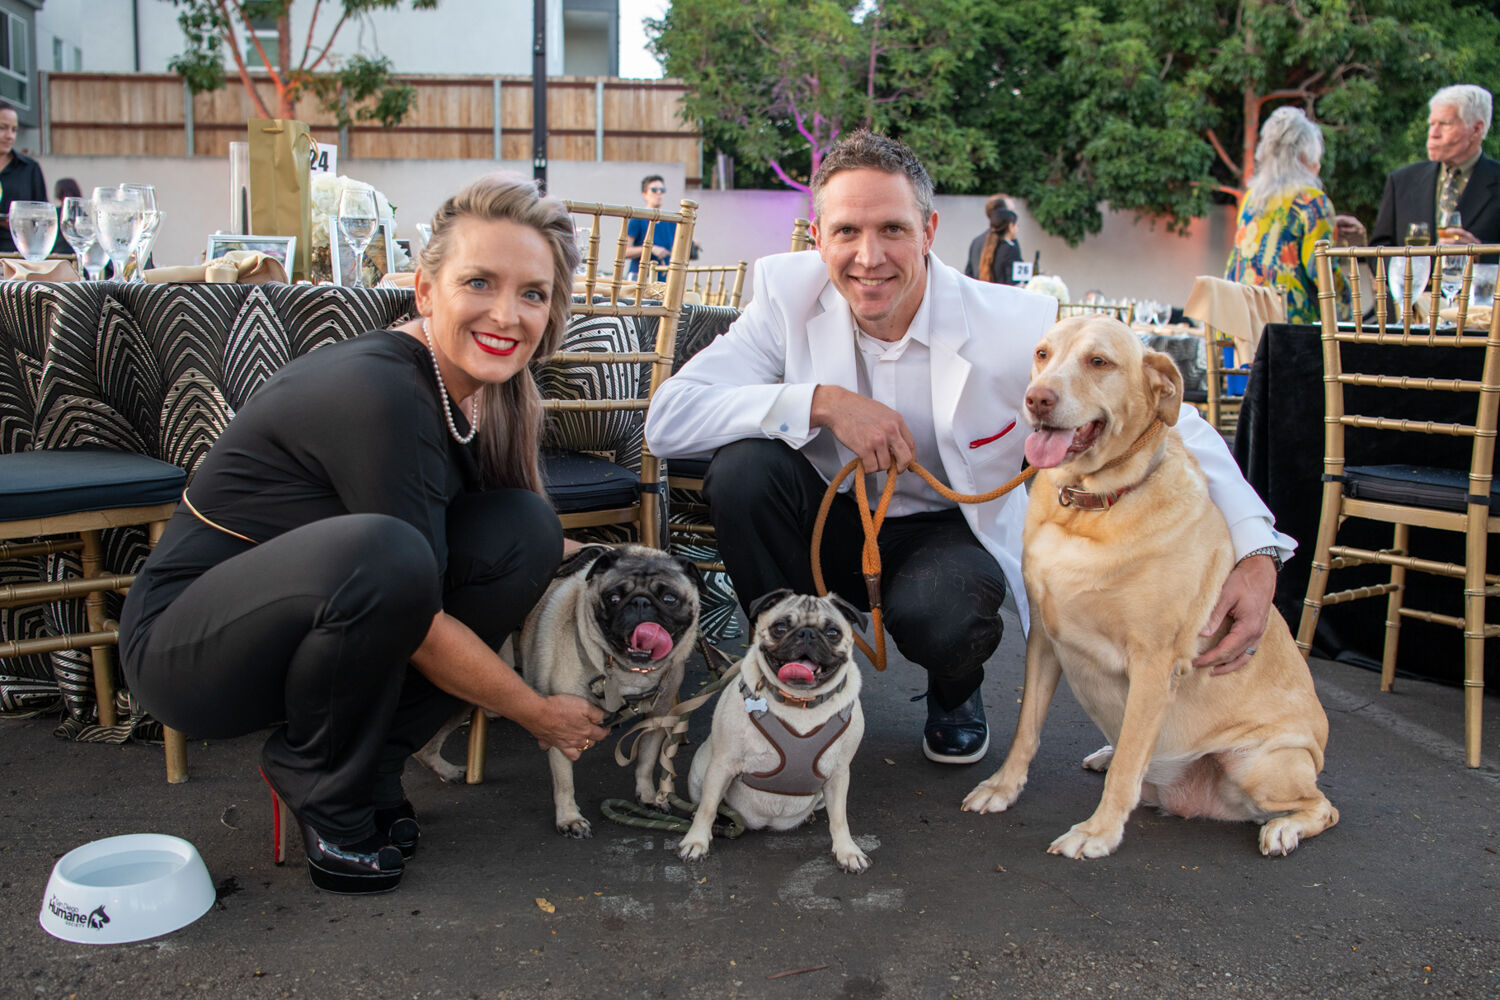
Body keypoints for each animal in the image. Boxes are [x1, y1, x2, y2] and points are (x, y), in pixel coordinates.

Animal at [522, 542, 702, 839]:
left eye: (669, 599)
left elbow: (646, 760)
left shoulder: (657, 716)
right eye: (614, 598)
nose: (640, 603)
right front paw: (569, 818)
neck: (629, 671)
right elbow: (564, 782)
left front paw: (648, 797)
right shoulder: (562, 723)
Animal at [678, 590, 876, 869]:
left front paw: (847, 851)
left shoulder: (838, 773)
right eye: (780, 628)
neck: (799, 701)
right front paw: (696, 841)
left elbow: (839, 818)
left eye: (833, 633)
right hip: (701, 770)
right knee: (704, 802)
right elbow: (707, 807)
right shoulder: (723, 764)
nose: (807, 634)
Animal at [960, 316, 1338, 857]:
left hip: (1261, 763)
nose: (1037, 398)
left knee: (1322, 806)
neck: (1092, 504)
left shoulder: (1154, 664)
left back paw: (1284, 827)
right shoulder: (1043, 642)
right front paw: (1003, 788)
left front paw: (1097, 832)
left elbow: (1127, 769)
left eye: (1099, 361)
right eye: (1041, 354)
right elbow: (1026, 729)